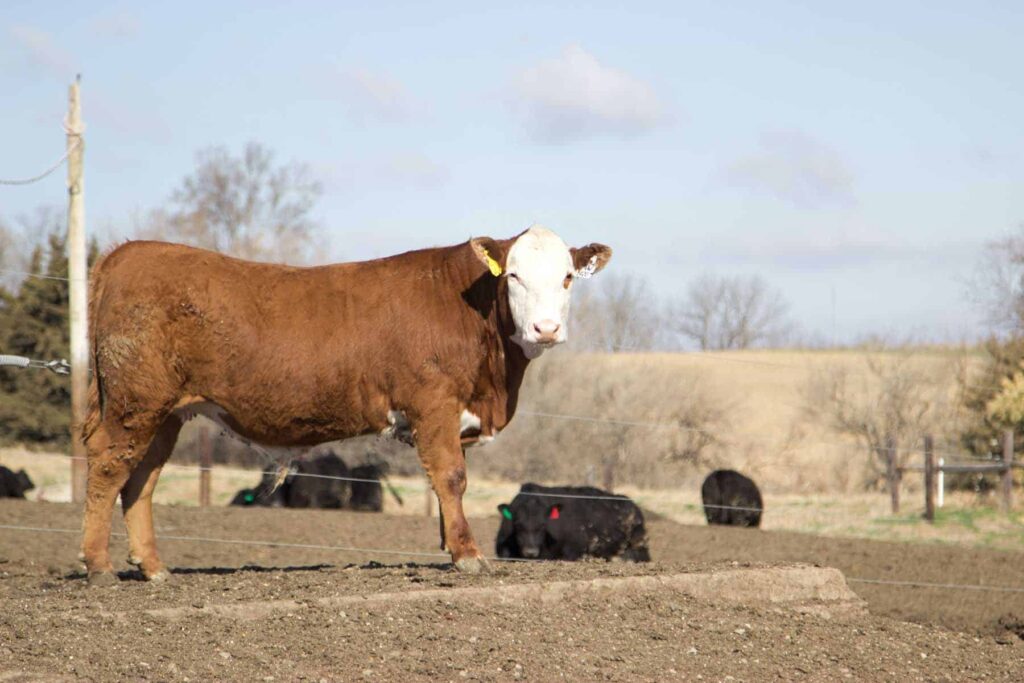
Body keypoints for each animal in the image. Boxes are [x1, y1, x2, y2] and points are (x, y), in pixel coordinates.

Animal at [80, 225, 611, 583]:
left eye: (568, 277)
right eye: (514, 276)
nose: (546, 328)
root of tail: (129, 252)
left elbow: (450, 484)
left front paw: (448, 545)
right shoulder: (434, 404)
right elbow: (451, 477)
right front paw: (467, 555)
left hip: (164, 412)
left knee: (141, 479)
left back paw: (153, 567)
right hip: (134, 403)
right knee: (108, 467)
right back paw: (99, 565)